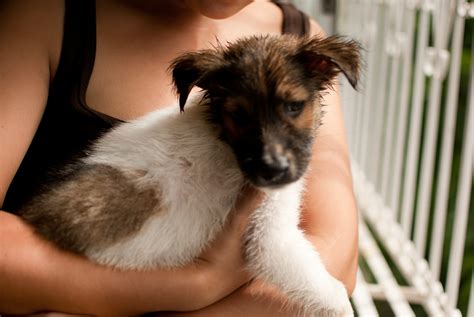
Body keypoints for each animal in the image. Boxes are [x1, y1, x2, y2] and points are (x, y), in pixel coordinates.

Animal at [18, 34, 360, 314]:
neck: (221, 137)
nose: (272, 170)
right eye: (238, 115)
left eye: (294, 106)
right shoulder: (269, 237)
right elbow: (329, 291)